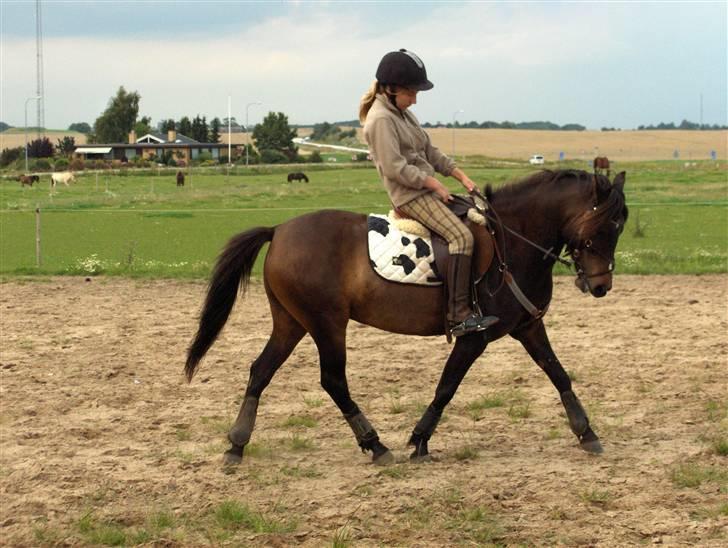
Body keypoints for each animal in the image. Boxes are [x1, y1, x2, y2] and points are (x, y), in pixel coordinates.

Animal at [186, 169, 624, 464]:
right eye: (607, 225)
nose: (601, 285)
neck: (511, 243)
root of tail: (278, 230)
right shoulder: (474, 337)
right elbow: (446, 387)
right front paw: (420, 439)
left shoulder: (529, 326)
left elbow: (558, 374)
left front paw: (586, 432)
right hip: (326, 324)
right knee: (333, 380)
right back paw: (375, 444)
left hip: (291, 322)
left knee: (261, 370)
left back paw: (237, 443)